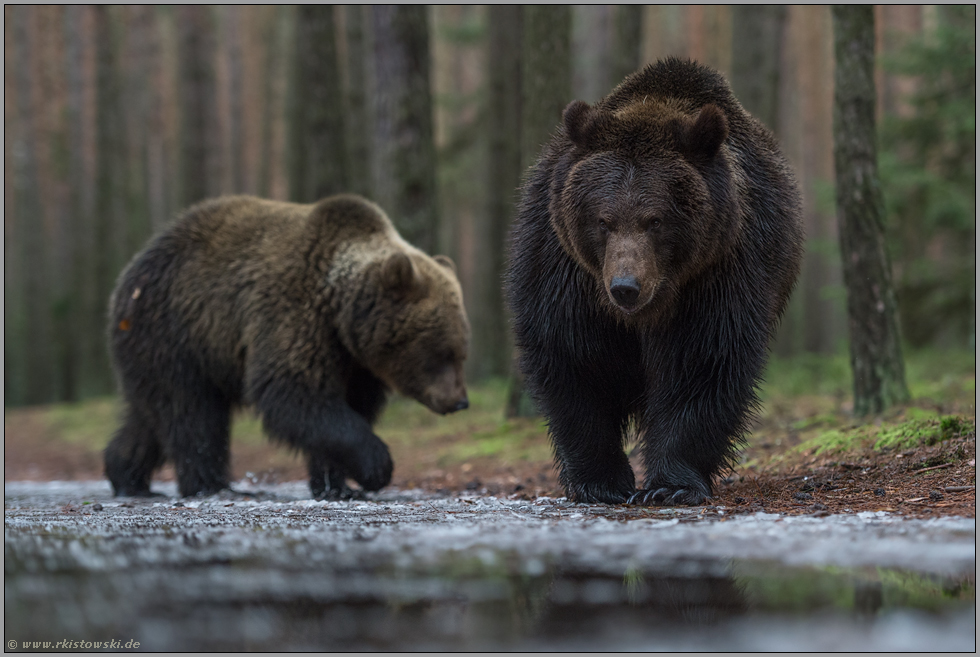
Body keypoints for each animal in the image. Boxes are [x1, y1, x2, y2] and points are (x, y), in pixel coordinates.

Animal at [103, 193, 470, 498]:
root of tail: (128, 274)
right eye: (442, 353)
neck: (340, 314)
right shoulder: (294, 314)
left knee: (151, 415)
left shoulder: (354, 362)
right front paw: (375, 466)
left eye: (462, 352)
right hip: (177, 330)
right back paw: (212, 485)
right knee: (193, 412)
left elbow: (347, 407)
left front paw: (337, 485)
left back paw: (127, 477)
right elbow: (293, 393)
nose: (460, 401)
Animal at [506, 59, 804, 504]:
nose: (626, 287)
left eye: (656, 220)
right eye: (603, 220)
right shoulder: (566, 274)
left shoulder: (719, 272)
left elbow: (701, 361)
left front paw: (670, 485)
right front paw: (600, 482)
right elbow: (577, 361)